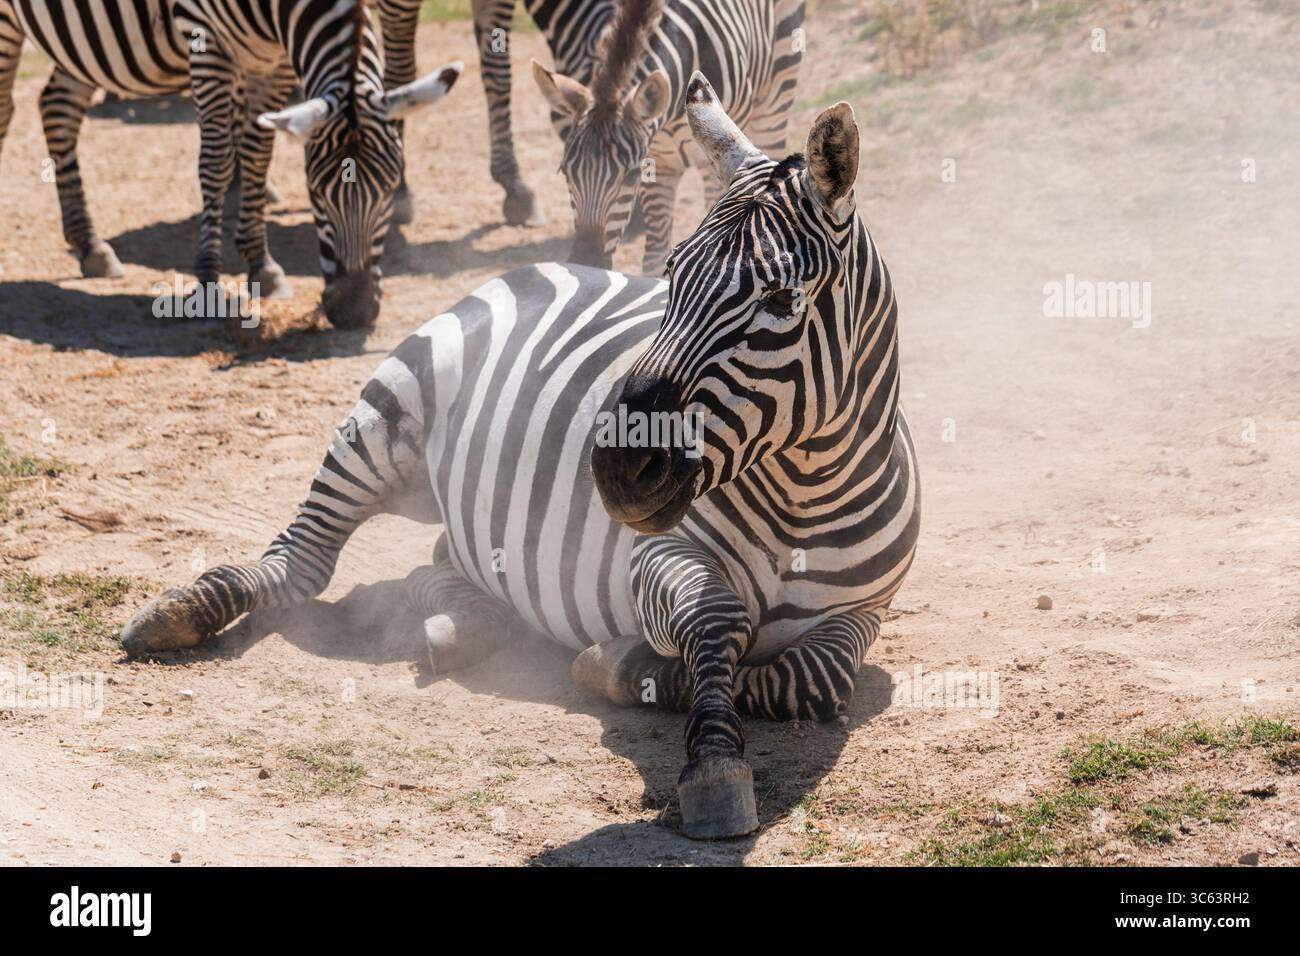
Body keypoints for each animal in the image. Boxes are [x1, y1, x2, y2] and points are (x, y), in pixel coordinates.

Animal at [0, 0, 461, 327]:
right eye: (314, 193)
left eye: (391, 188)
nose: (355, 311)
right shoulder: (205, 37)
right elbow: (217, 160)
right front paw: (208, 279)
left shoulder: (274, 59)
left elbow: (259, 153)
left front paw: (262, 264)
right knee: (9, 111)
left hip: (83, 46)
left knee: (58, 106)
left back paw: (90, 245)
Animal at [120, 77, 920, 840]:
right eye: (673, 277)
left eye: (782, 300)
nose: (616, 469)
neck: (803, 493)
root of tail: (546, 263)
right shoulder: (655, 557)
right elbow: (717, 620)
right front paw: (702, 752)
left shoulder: (865, 612)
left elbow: (813, 677)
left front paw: (633, 670)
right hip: (384, 414)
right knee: (304, 559)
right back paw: (180, 613)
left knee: (441, 561)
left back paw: (463, 623)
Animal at [531, 0, 805, 274]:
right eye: (565, 172)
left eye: (631, 177)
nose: (585, 264)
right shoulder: (658, 162)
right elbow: (653, 258)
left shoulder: (714, 161)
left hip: (778, 87)